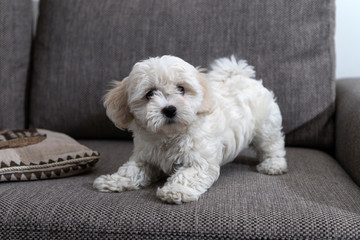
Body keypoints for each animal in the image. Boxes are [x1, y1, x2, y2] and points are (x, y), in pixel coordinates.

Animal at [93, 55, 286, 203]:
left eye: (181, 89)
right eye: (150, 94)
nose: (169, 109)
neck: (169, 136)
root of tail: (243, 76)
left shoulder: (199, 161)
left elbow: (187, 175)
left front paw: (176, 190)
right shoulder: (144, 157)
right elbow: (130, 171)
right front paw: (113, 181)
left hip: (266, 126)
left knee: (271, 146)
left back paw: (273, 165)